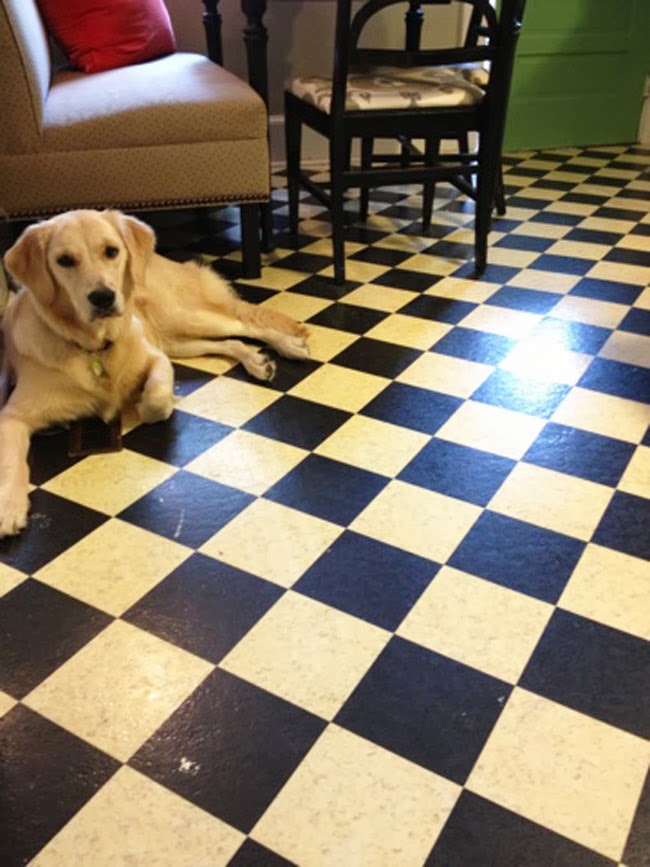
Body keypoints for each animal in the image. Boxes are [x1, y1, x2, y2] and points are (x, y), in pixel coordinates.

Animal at [0, 209, 309, 537]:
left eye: (111, 251)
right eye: (64, 260)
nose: (103, 297)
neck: (95, 346)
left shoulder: (156, 358)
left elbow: (158, 395)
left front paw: (145, 405)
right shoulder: (13, 416)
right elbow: (11, 460)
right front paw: (8, 506)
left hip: (182, 318)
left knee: (245, 324)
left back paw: (288, 343)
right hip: (178, 340)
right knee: (232, 342)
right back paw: (256, 361)